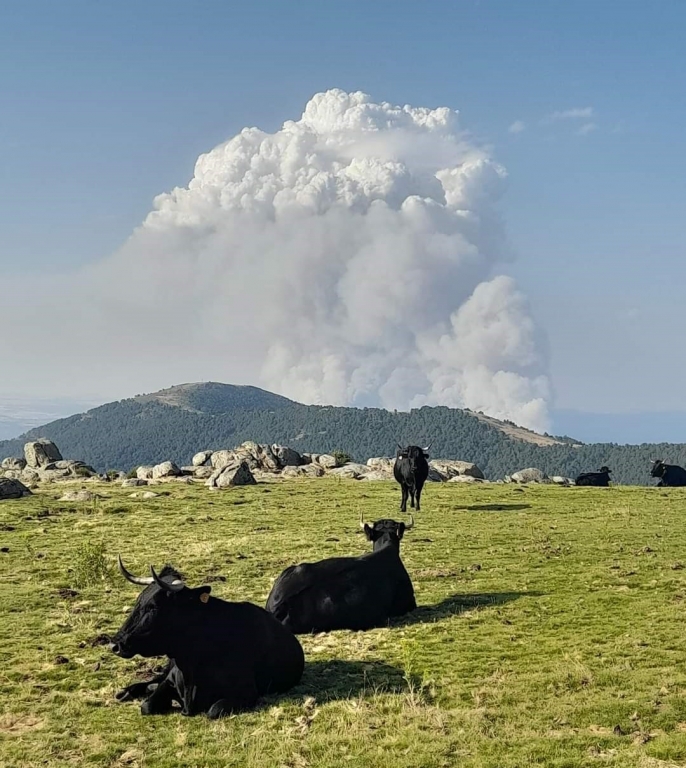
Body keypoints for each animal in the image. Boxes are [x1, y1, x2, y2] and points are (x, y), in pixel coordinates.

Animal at [110, 556, 304, 716]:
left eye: (153, 607)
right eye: (138, 601)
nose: (115, 645)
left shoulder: (247, 692)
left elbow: (214, 710)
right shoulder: (170, 680)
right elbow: (147, 705)